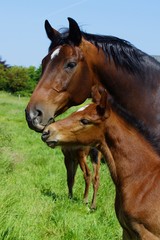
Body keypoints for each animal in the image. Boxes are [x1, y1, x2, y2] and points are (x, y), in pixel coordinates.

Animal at [41, 88, 160, 240]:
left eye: (85, 120)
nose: (46, 132)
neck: (143, 179)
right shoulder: (127, 231)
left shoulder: (148, 234)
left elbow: (71, 178)